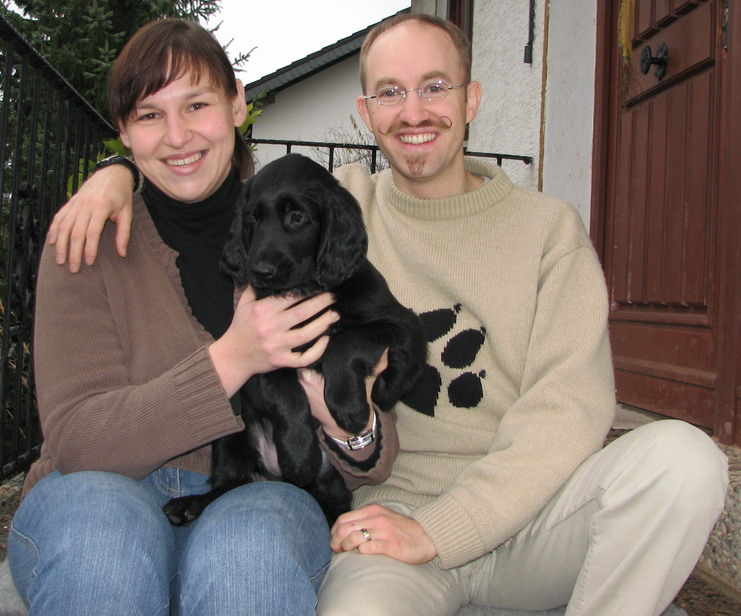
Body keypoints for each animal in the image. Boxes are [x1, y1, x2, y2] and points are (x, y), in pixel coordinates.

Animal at [162, 153, 428, 524]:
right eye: (252, 219)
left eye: (297, 217)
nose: (261, 271)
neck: (304, 290)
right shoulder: (267, 349)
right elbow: (285, 394)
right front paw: (301, 456)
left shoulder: (402, 326)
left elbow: (345, 345)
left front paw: (351, 408)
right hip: (231, 429)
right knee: (230, 483)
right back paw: (189, 505)